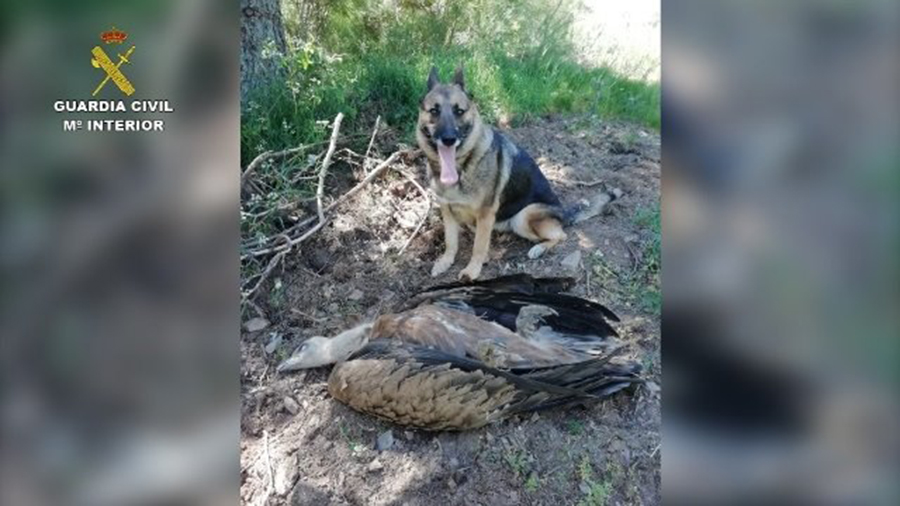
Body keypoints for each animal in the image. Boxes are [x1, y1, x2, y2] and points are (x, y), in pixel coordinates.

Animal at [420, 66, 620, 280]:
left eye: (459, 111)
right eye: (434, 111)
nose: (448, 139)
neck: (462, 166)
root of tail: (564, 213)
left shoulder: (485, 214)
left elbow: (479, 247)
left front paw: (472, 270)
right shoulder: (447, 211)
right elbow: (451, 242)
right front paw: (445, 262)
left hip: (523, 217)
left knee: (561, 235)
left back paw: (538, 249)